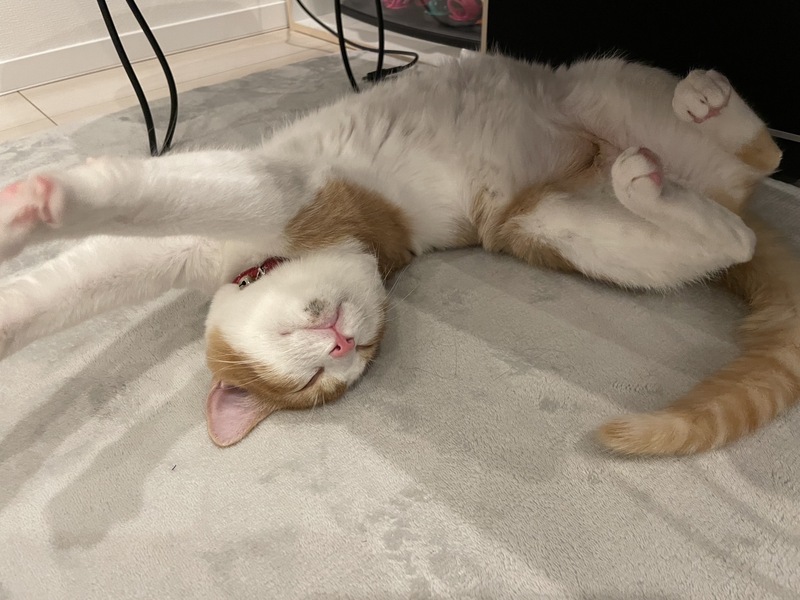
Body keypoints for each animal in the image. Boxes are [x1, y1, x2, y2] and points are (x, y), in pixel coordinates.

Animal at [0, 52, 796, 455]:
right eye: (325, 377)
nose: (340, 340)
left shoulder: (276, 190)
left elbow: (140, 197)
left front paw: (41, 203)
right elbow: (72, 286)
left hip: (602, 89)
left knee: (767, 154)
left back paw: (707, 97)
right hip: (552, 227)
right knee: (730, 223)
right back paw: (653, 179)